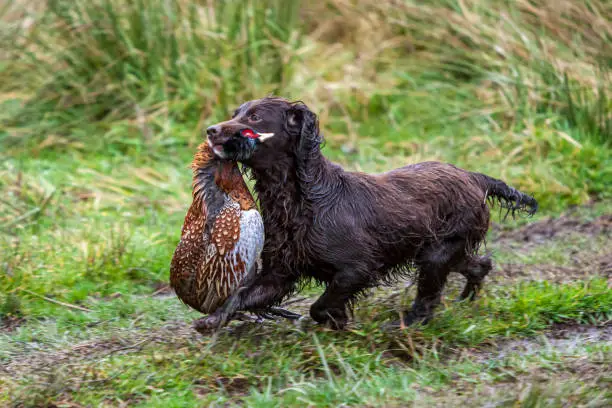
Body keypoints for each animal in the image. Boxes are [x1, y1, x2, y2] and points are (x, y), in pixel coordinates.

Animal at [196, 97, 536, 330]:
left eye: (254, 117)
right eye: (235, 114)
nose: (210, 130)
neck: (302, 200)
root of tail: (474, 176)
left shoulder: (357, 268)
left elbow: (320, 306)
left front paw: (336, 321)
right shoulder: (279, 273)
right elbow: (242, 295)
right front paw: (212, 320)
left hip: (436, 252)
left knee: (428, 299)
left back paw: (404, 325)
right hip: (442, 249)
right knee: (479, 264)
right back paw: (466, 298)